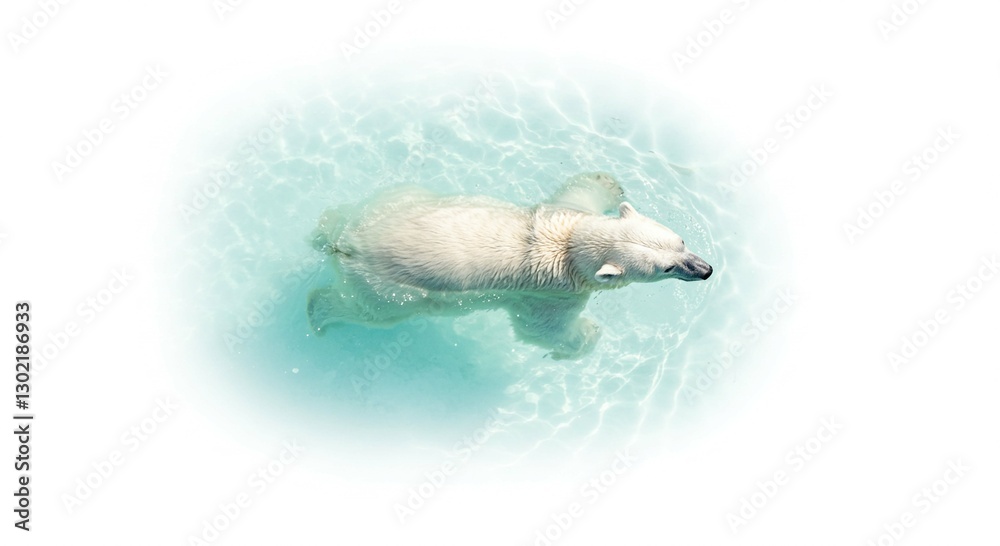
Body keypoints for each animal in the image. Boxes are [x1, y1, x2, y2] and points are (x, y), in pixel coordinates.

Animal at [306, 172, 712, 359]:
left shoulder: (562, 212)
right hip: (390, 289)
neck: (566, 246)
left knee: (350, 211)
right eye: (666, 268)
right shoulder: (551, 294)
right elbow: (542, 329)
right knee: (371, 312)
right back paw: (318, 313)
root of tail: (349, 247)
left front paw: (609, 183)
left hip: (393, 203)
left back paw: (319, 230)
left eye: (681, 241)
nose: (705, 269)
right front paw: (586, 336)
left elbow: (578, 191)